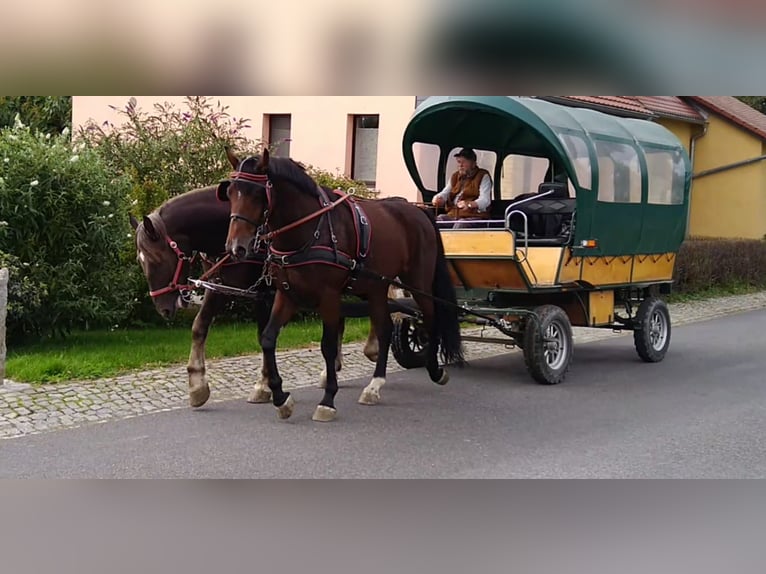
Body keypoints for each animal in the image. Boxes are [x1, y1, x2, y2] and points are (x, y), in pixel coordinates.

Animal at [134, 187, 382, 408]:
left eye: (156, 259)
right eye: (140, 261)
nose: (163, 308)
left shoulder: (269, 293)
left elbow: (264, 334)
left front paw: (264, 385)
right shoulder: (222, 287)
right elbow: (200, 327)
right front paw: (197, 386)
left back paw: (373, 350)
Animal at [219, 148, 464, 424]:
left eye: (257, 193)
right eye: (230, 192)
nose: (236, 247)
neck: (309, 230)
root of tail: (418, 211)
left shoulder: (329, 297)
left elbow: (327, 345)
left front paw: (327, 400)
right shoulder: (287, 294)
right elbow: (268, 339)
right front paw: (281, 397)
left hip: (418, 280)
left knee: (431, 318)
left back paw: (434, 369)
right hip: (377, 287)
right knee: (385, 329)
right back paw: (374, 385)